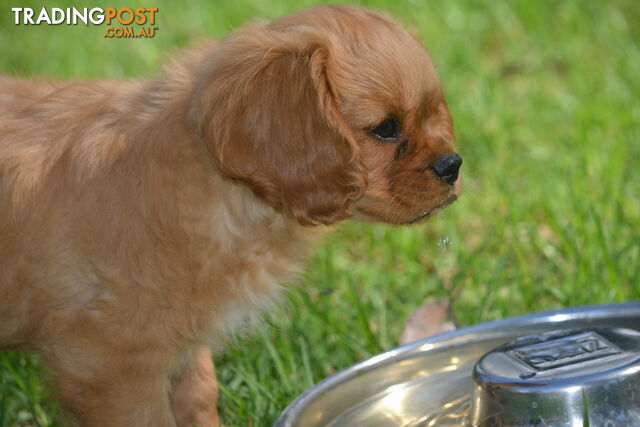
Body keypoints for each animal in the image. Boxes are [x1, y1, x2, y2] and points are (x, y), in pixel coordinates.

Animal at [0, 4, 460, 427]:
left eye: (432, 115)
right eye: (385, 128)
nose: (453, 165)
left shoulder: (181, 342)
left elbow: (200, 395)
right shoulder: (109, 363)